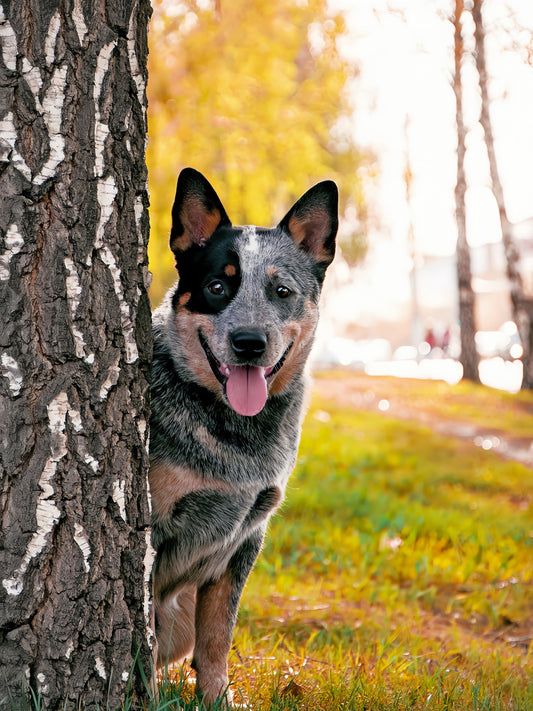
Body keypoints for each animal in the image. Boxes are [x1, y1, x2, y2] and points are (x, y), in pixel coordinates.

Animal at [149, 168, 336, 708]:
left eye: (281, 291)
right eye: (217, 286)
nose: (249, 343)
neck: (238, 434)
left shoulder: (247, 537)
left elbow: (218, 635)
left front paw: (217, 699)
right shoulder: (154, 527)